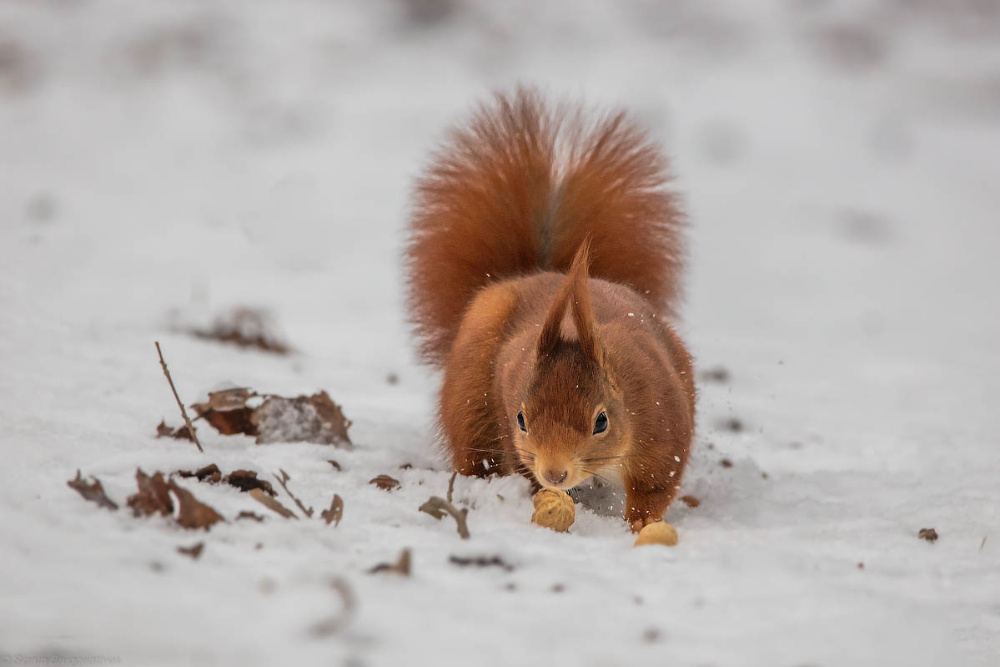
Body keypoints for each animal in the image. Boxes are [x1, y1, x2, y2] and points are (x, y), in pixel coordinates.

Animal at [402, 87, 692, 532]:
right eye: (522, 418)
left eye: (601, 421)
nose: (555, 473)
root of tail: (539, 273)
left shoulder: (661, 424)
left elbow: (655, 484)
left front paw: (641, 524)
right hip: (471, 401)